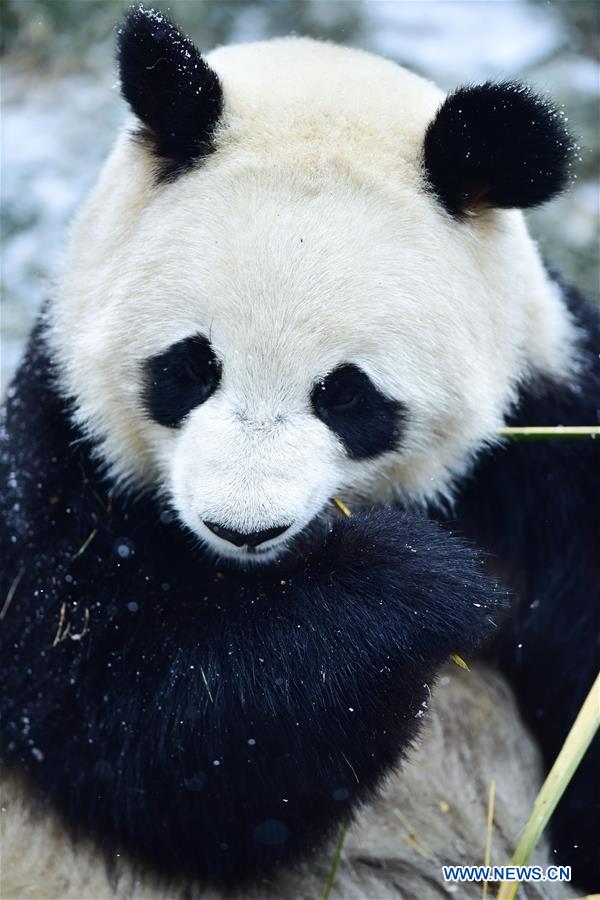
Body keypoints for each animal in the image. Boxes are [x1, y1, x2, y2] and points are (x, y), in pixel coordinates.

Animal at [1, 7, 598, 899]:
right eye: (192, 366)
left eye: (345, 394)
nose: (243, 528)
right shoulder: (61, 460)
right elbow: (148, 738)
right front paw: (421, 583)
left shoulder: (548, 438)